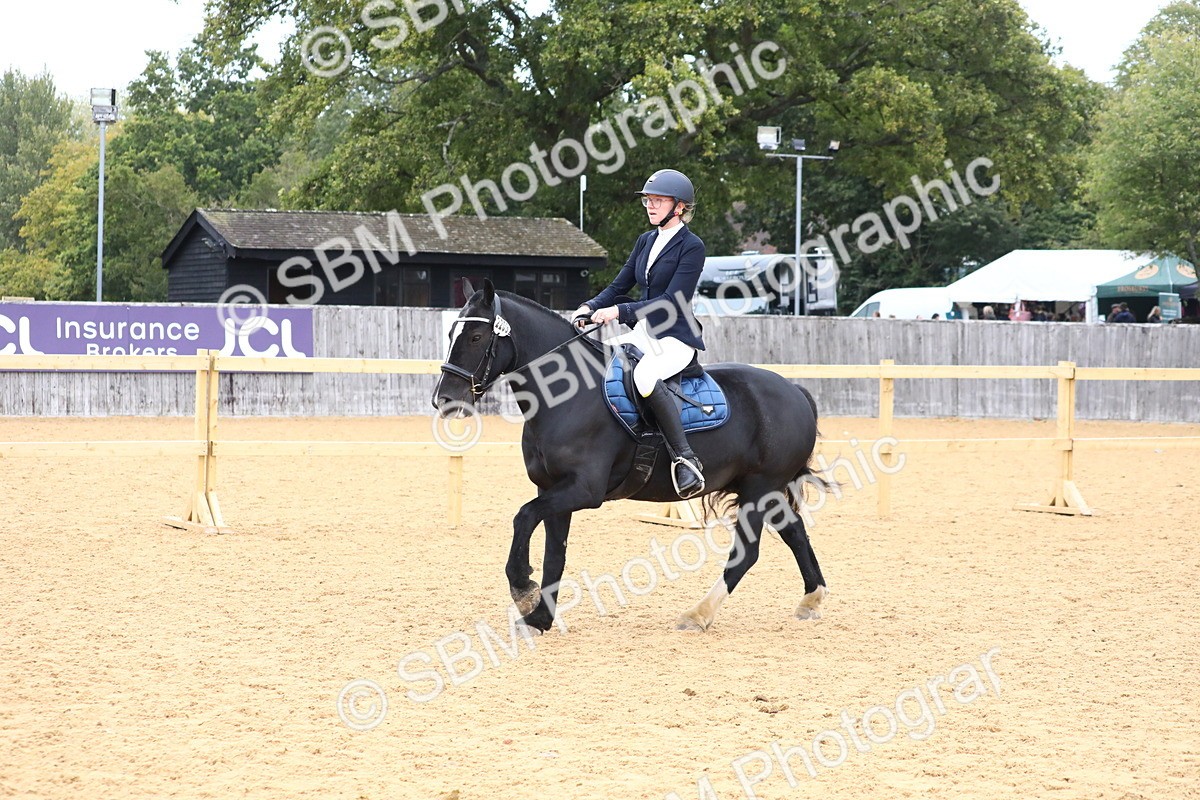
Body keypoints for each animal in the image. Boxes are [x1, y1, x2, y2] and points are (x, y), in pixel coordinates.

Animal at [432, 280, 828, 632]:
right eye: (451, 334)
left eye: (476, 337)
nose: (444, 399)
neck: (566, 397)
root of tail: (794, 390)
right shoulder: (553, 490)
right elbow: (554, 555)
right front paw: (541, 618)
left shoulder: (584, 491)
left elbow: (523, 517)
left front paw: (522, 590)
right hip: (763, 490)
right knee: (795, 532)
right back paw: (812, 599)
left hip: (759, 489)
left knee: (747, 553)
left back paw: (698, 614)